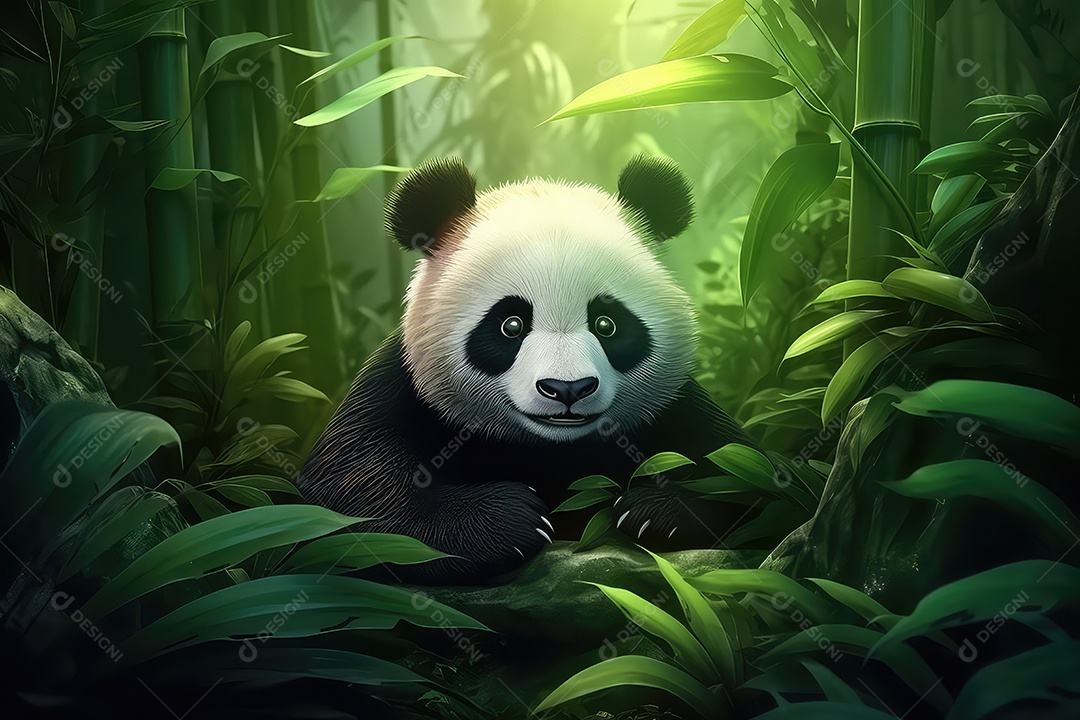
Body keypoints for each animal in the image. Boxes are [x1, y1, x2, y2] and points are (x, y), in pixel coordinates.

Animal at [299, 156, 751, 584]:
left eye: (607, 324)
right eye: (511, 325)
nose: (567, 389)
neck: (549, 447)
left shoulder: (673, 402)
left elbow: (741, 470)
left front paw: (654, 510)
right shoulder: (403, 386)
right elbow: (347, 493)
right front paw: (508, 521)